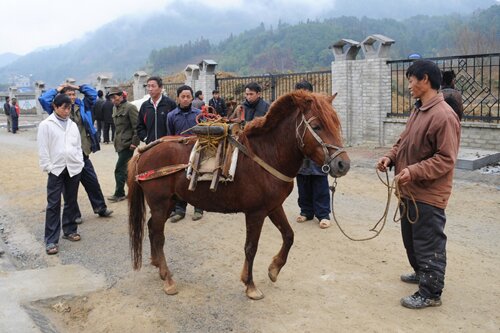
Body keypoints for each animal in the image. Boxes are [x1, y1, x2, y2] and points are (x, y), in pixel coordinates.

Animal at [127, 89, 350, 300]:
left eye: (336, 123)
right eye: (318, 126)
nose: (343, 164)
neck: (266, 153)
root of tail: (144, 151)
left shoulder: (273, 207)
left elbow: (289, 236)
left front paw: (274, 269)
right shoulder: (255, 213)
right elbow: (251, 248)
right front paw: (250, 286)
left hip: (169, 203)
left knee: (152, 229)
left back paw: (157, 265)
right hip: (160, 203)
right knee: (158, 236)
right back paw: (168, 279)